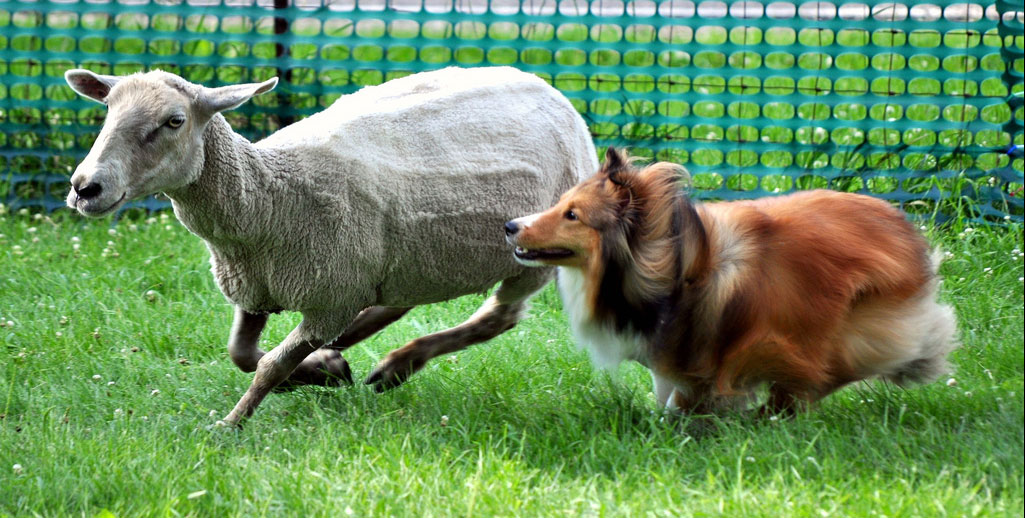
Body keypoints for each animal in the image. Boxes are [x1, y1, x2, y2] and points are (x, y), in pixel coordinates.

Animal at [66, 66, 598, 426]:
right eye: (108, 111)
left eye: (174, 121)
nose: (85, 188)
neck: (266, 199)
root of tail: (553, 92)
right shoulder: (258, 288)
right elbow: (242, 352)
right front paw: (323, 370)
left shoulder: (329, 298)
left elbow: (269, 367)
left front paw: (230, 424)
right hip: (410, 257)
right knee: (396, 301)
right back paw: (353, 352)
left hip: (531, 253)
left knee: (497, 318)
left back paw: (397, 365)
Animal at [504, 147, 959, 414]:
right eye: (562, 205)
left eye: (572, 215)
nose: (510, 226)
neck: (669, 267)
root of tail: (908, 233)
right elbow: (664, 391)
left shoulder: (698, 351)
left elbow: (684, 394)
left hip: (832, 327)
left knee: (828, 371)